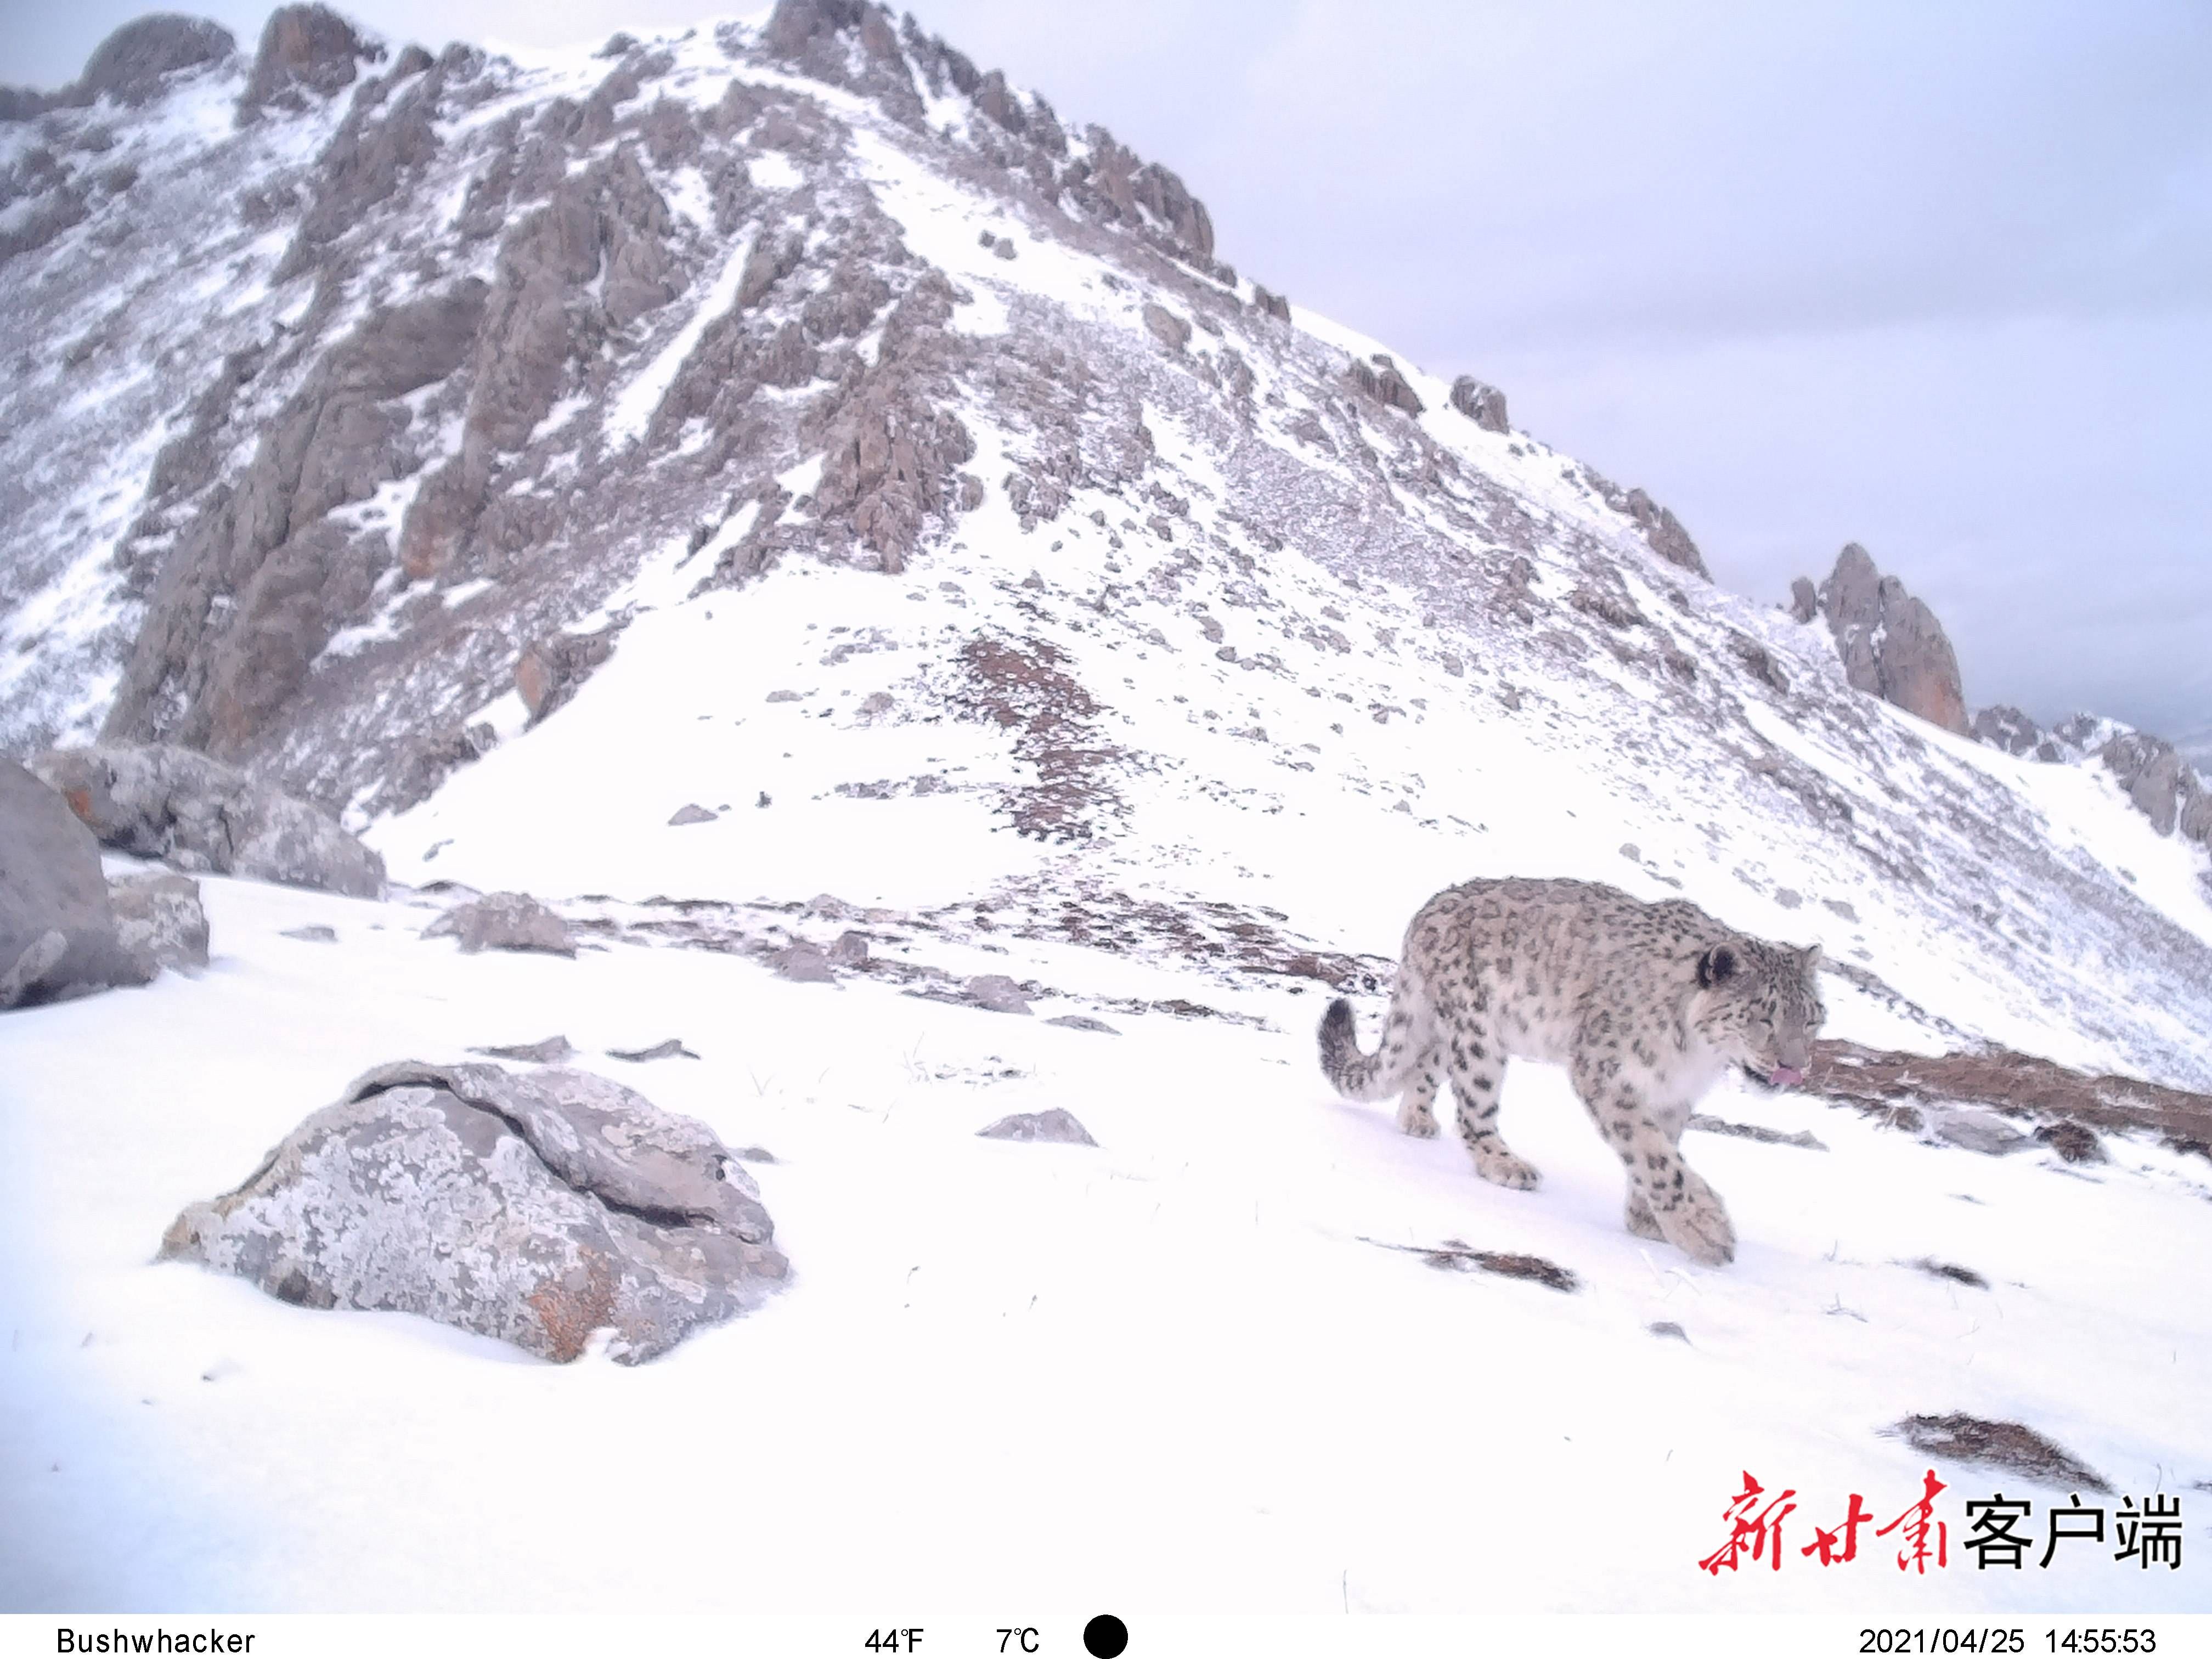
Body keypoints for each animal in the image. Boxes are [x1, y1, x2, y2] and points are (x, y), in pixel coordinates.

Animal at [1318, 876, 1825, 1265]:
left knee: (1423, 1065)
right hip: (1477, 1035)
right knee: (1474, 1111)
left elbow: (1661, 1149)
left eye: (1812, 1019)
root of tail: (1426, 911)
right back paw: (1506, 1164)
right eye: (1763, 1018)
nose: (1794, 1069)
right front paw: (1705, 1228)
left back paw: (1417, 1119)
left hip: (1461, 1034)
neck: (1696, 1057)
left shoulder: (1671, 1095)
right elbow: (1654, 1155)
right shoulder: (1607, 1071)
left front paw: (1648, 1220)